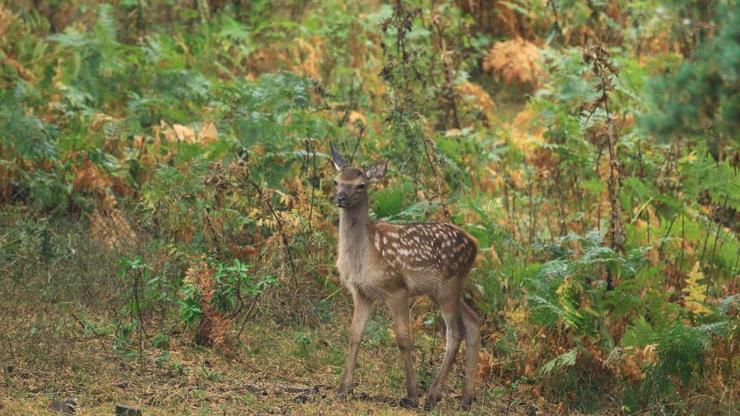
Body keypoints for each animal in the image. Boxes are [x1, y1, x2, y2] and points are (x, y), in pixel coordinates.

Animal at [332, 145, 482, 412]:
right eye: (336, 181)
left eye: (361, 185)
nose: (340, 198)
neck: (365, 256)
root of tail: (475, 245)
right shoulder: (361, 292)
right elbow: (354, 335)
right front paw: (343, 389)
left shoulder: (396, 288)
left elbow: (403, 338)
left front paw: (411, 394)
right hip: (443, 289)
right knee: (473, 322)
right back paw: (465, 400)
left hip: (448, 286)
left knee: (455, 332)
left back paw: (432, 396)